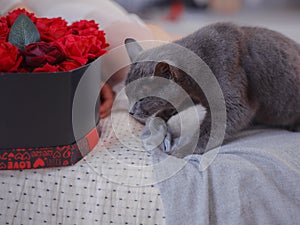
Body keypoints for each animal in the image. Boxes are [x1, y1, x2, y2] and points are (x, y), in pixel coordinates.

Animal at [123, 22, 298, 153]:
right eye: (127, 95)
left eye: (143, 98)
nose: (130, 112)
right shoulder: (192, 94)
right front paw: (160, 118)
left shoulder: (232, 102)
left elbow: (211, 130)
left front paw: (180, 151)